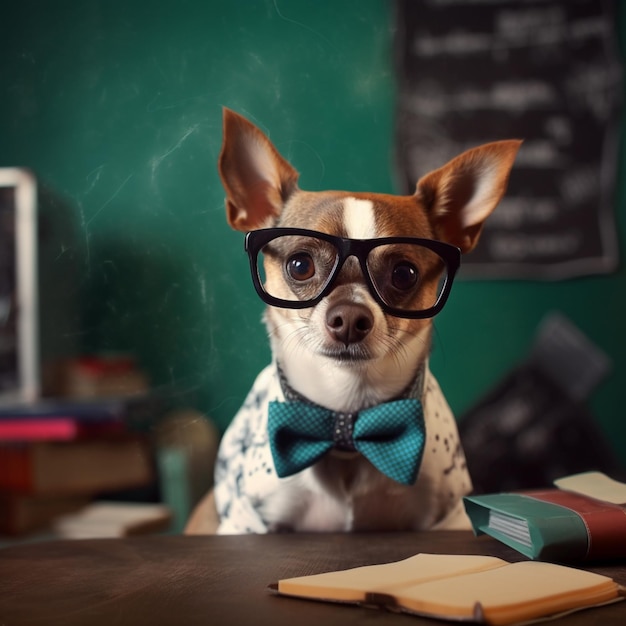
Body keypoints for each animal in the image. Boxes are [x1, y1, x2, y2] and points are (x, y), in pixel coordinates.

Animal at [184, 107, 516, 532]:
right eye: (300, 265)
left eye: (404, 273)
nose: (350, 317)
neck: (346, 422)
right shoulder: (249, 522)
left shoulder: (449, 517)